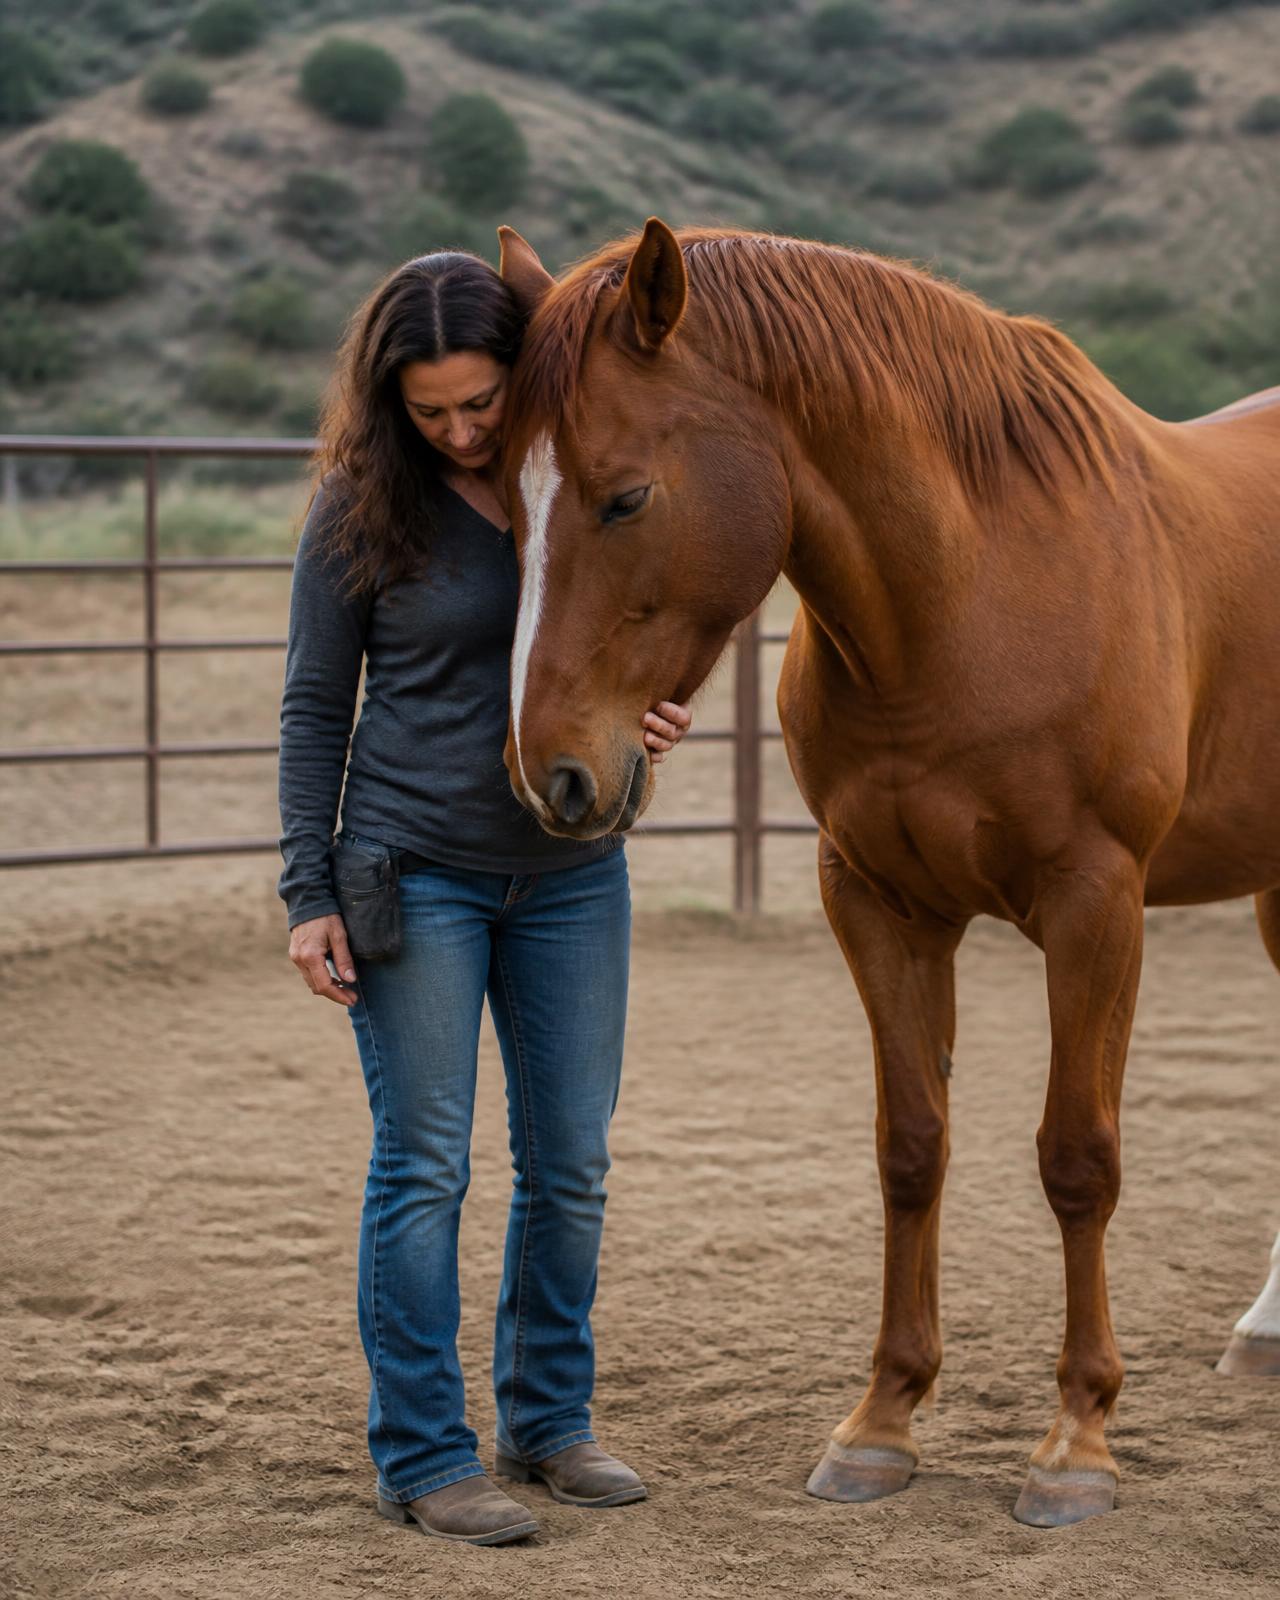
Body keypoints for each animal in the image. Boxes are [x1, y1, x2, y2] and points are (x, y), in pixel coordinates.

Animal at [493, 218, 1280, 1527]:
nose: (548, 772)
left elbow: (1077, 1159)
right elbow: (909, 1147)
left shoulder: (1095, 904)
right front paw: (881, 1420)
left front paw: (1076, 1437)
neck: (965, 593)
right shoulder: (874, 900)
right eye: (503, 500)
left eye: (625, 496)